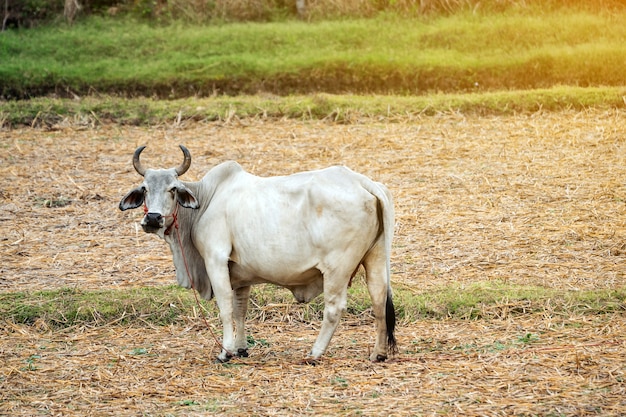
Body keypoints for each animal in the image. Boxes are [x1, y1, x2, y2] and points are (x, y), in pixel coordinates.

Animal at [118, 145, 394, 360]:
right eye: (144, 188)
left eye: (173, 189)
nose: (153, 218)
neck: (207, 200)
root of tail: (363, 182)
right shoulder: (241, 275)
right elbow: (240, 309)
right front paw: (241, 348)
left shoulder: (215, 260)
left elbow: (225, 307)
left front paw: (226, 351)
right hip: (376, 260)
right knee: (379, 299)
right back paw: (378, 353)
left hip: (337, 269)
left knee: (334, 308)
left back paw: (315, 353)